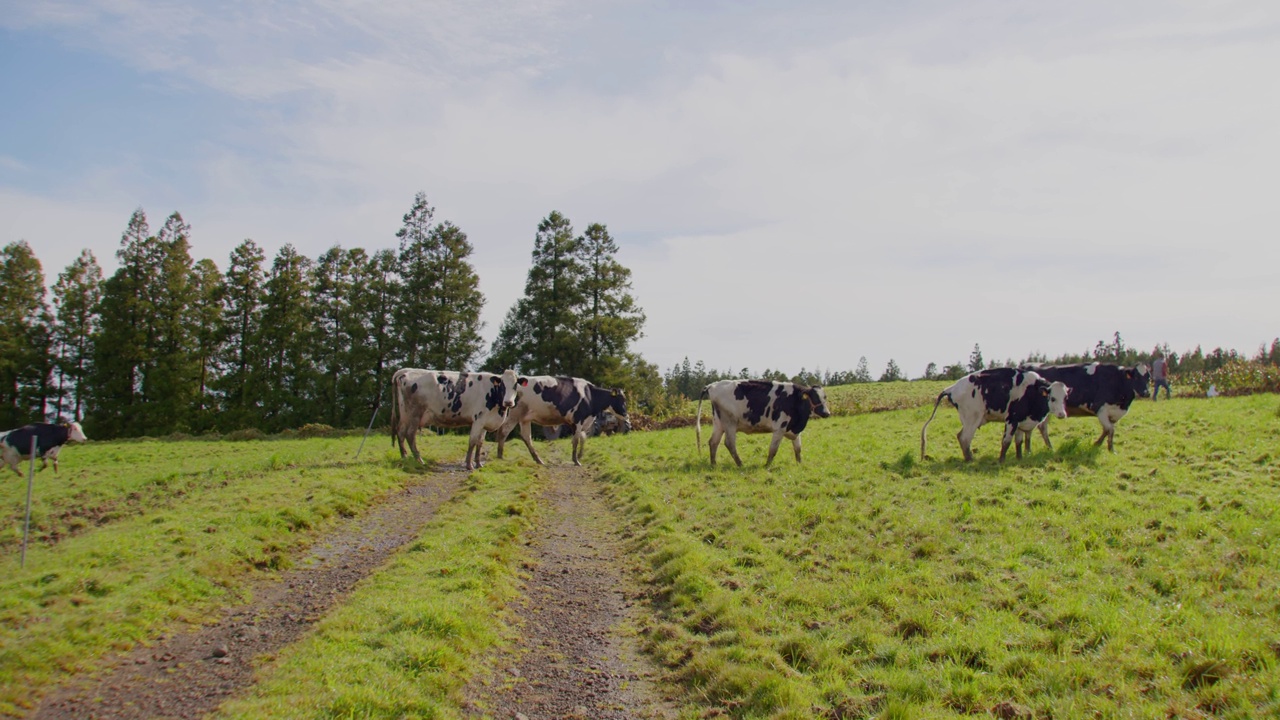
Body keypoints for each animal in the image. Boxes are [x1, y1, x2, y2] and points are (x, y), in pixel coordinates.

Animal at [391, 363, 527, 471]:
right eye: (503, 385)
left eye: (516, 385)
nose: (508, 402)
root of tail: (406, 371)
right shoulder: (478, 420)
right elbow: (472, 441)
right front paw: (469, 465)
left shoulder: (485, 422)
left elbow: (480, 442)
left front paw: (478, 464)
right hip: (415, 413)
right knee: (410, 434)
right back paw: (419, 460)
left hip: (405, 414)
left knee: (401, 432)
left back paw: (404, 457)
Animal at [491, 376, 627, 466]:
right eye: (621, 400)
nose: (626, 415)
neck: (590, 396)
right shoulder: (578, 420)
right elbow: (576, 440)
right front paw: (576, 460)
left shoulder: (579, 423)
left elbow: (583, 438)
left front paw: (580, 455)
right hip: (515, 414)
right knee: (504, 430)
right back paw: (500, 455)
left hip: (525, 418)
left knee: (526, 436)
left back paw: (538, 460)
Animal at [696, 379, 834, 468]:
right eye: (814, 397)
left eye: (825, 397)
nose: (826, 413)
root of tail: (712, 385)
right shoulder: (779, 429)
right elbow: (773, 449)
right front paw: (767, 465)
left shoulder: (795, 430)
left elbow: (798, 449)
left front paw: (799, 464)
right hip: (730, 422)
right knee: (729, 443)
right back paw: (740, 464)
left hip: (718, 423)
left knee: (713, 442)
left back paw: (714, 464)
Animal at [921, 366, 1070, 461]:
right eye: (1052, 398)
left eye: (1065, 398)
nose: (1062, 414)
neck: (1031, 391)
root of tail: (952, 388)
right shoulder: (1011, 419)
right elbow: (1006, 441)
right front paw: (1001, 460)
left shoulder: (1021, 422)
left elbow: (1019, 441)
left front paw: (1019, 458)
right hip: (972, 419)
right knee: (964, 438)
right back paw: (970, 459)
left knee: (961, 437)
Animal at [1018, 361, 1152, 450]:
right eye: (1136, 376)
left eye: (1148, 378)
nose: (1146, 393)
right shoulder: (1100, 408)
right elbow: (1110, 430)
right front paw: (1110, 449)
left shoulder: (1114, 414)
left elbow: (1107, 430)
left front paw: (1098, 444)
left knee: (1042, 427)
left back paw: (1050, 448)